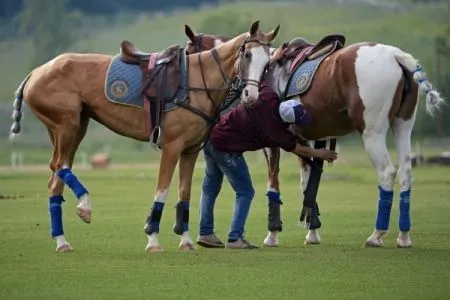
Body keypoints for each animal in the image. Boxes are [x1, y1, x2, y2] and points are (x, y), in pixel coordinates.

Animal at [10, 20, 282, 253]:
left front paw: (185, 241)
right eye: (247, 55)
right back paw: (84, 206)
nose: (250, 96)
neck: (197, 83)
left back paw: (62, 241)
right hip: (67, 125)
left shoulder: (190, 151)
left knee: (55, 177)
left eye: (268, 64)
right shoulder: (171, 146)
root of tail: (35, 72)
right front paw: (152, 238)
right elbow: (162, 190)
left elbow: (184, 194)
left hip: (75, 127)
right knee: (59, 164)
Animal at [184, 26, 446, 248]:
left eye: (187, 53)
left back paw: (376, 235)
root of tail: (394, 55)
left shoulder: (271, 143)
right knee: (406, 172)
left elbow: (274, 184)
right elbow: (308, 183)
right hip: (403, 125)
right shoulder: (303, 138)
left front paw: (273, 234)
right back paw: (404, 236)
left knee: (387, 173)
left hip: (373, 132)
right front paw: (312, 231)